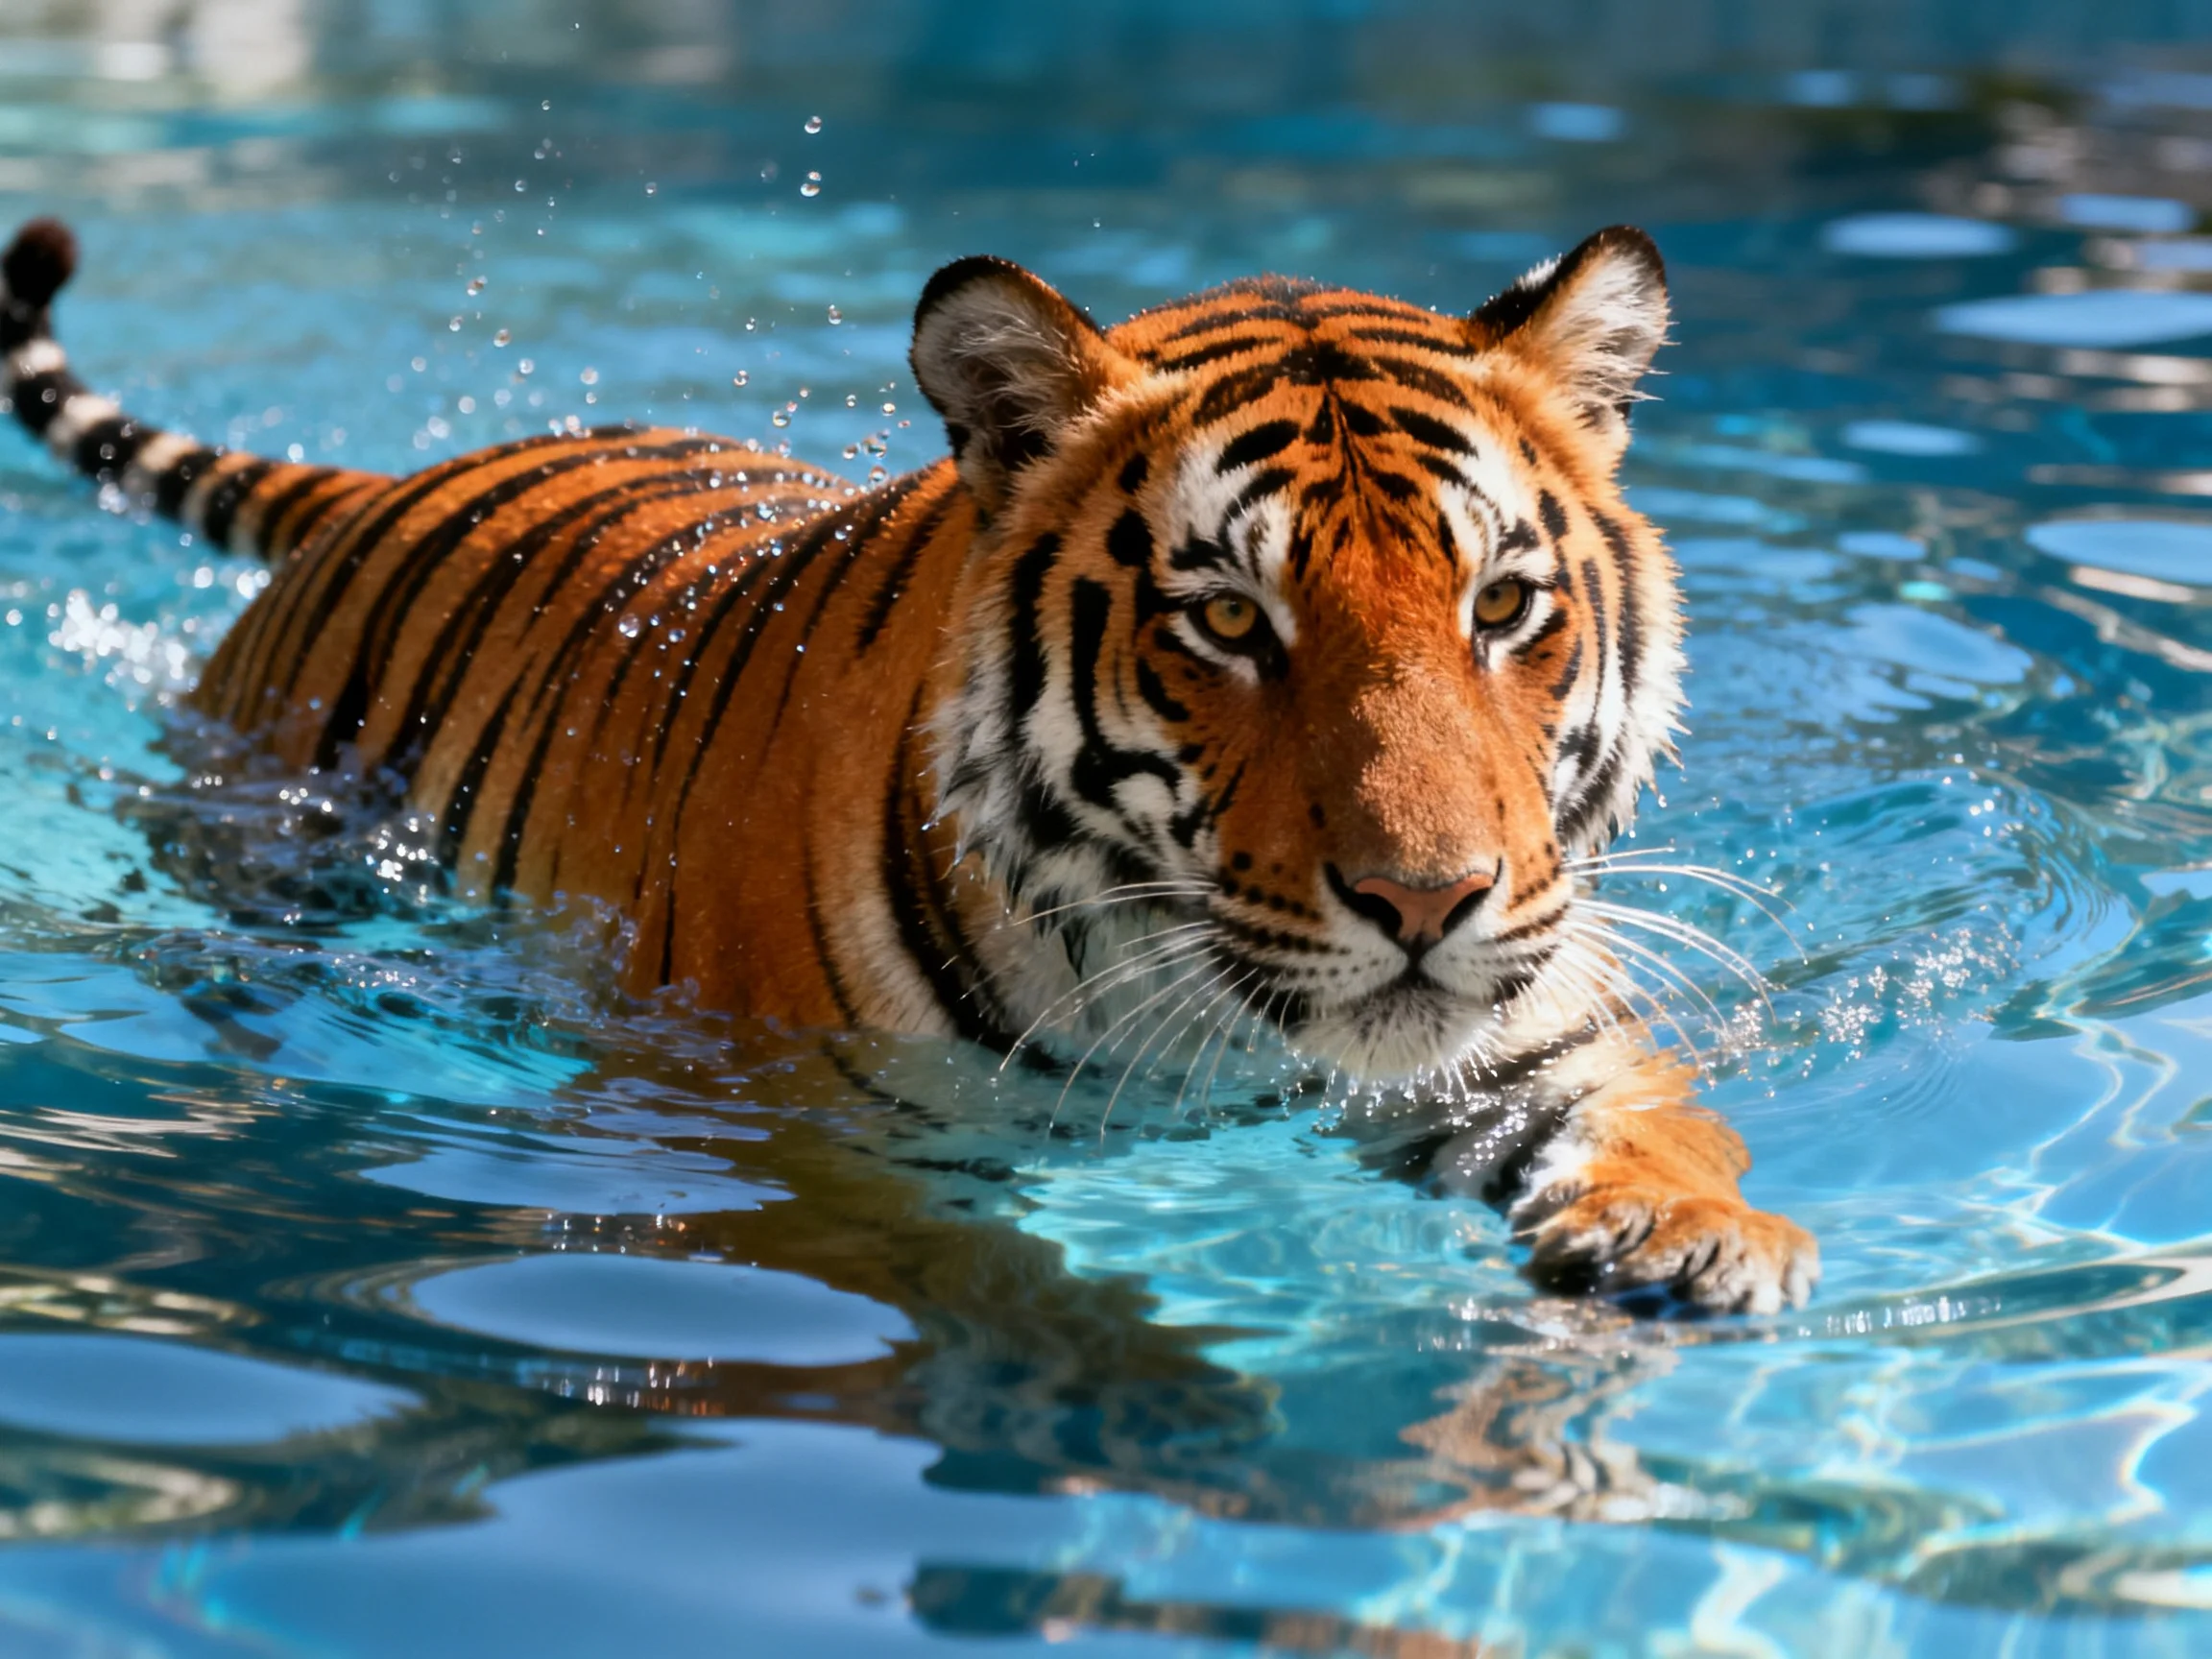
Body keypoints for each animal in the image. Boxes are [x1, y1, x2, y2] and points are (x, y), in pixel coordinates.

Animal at [1, 215, 1816, 1313]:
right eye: (1229, 619)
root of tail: (384, 481)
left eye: (1500, 603)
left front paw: (1688, 1239)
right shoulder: (818, 1146)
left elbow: (1653, 1123)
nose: (1426, 901)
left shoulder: (1536, 1023)